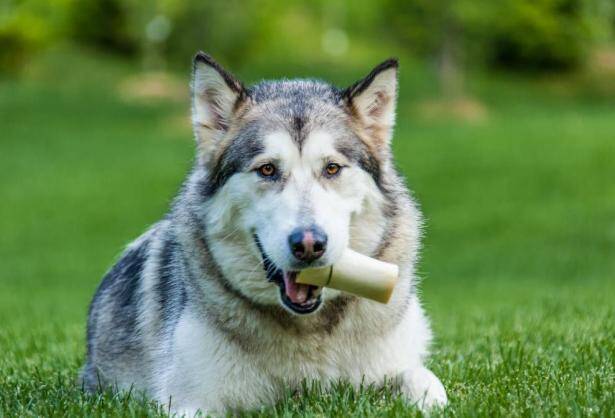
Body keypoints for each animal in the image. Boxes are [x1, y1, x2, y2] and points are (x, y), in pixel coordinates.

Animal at [83, 53, 448, 414]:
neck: (308, 330)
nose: (309, 245)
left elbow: (426, 383)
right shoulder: (189, 400)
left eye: (331, 168)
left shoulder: (400, 364)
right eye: (267, 169)